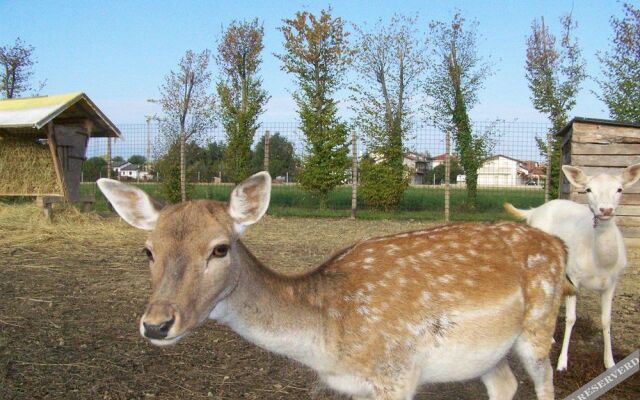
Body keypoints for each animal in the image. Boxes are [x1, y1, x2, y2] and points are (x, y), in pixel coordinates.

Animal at [97, 172, 568, 400]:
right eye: (147, 250)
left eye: (219, 248)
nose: (156, 324)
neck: (328, 342)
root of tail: (557, 243)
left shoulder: (397, 374)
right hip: (487, 352)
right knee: (505, 385)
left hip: (540, 324)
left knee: (545, 384)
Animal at [504, 163, 640, 372]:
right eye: (588, 189)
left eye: (619, 189)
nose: (605, 210)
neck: (600, 264)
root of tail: (534, 211)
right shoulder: (574, 275)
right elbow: (571, 318)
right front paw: (562, 363)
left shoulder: (613, 281)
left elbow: (606, 320)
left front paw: (610, 362)